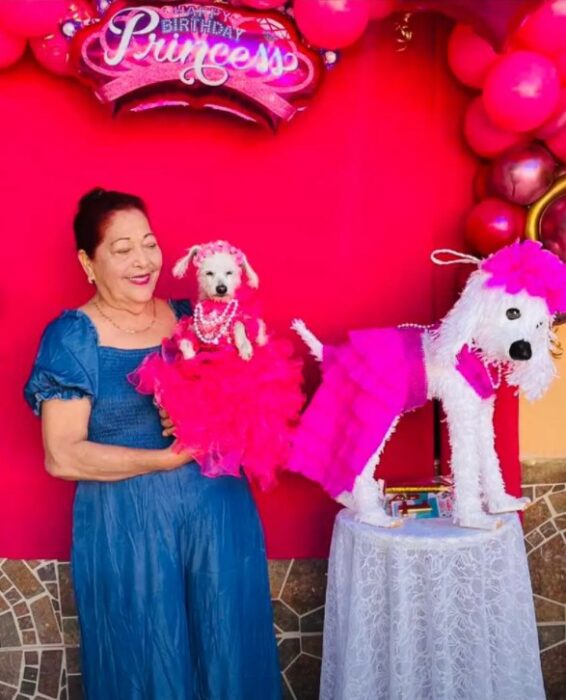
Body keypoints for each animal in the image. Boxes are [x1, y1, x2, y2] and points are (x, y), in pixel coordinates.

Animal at [288, 242, 566, 532]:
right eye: (512, 312)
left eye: (540, 324)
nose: (523, 350)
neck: (473, 348)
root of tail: (331, 352)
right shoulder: (461, 407)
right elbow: (467, 462)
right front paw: (473, 519)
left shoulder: (480, 411)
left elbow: (489, 456)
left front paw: (501, 503)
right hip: (375, 413)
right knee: (360, 466)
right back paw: (374, 516)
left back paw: (352, 502)